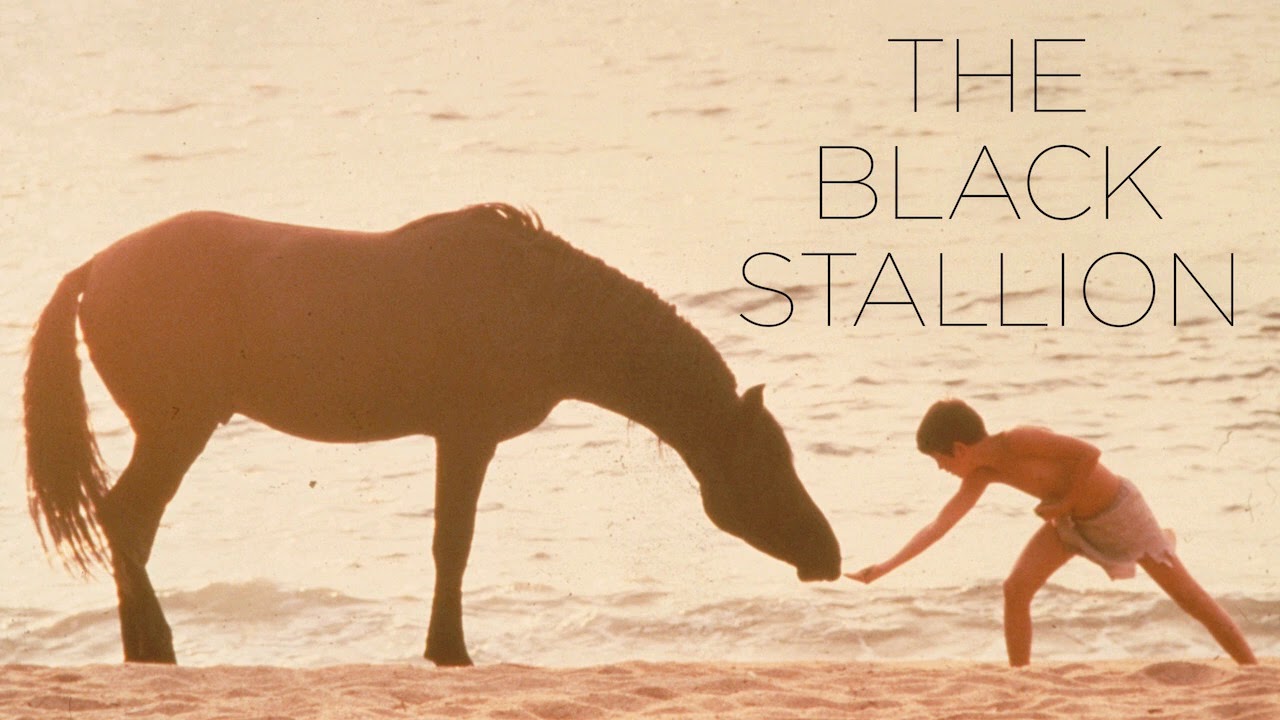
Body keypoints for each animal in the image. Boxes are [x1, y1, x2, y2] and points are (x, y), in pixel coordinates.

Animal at [23, 203, 842, 666]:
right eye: (767, 465)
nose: (828, 556)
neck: (544, 305)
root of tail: (95, 268)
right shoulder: (466, 437)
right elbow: (454, 545)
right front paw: (449, 651)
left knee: (130, 526)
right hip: (176, 431)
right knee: (125, 519)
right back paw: (154, 645)